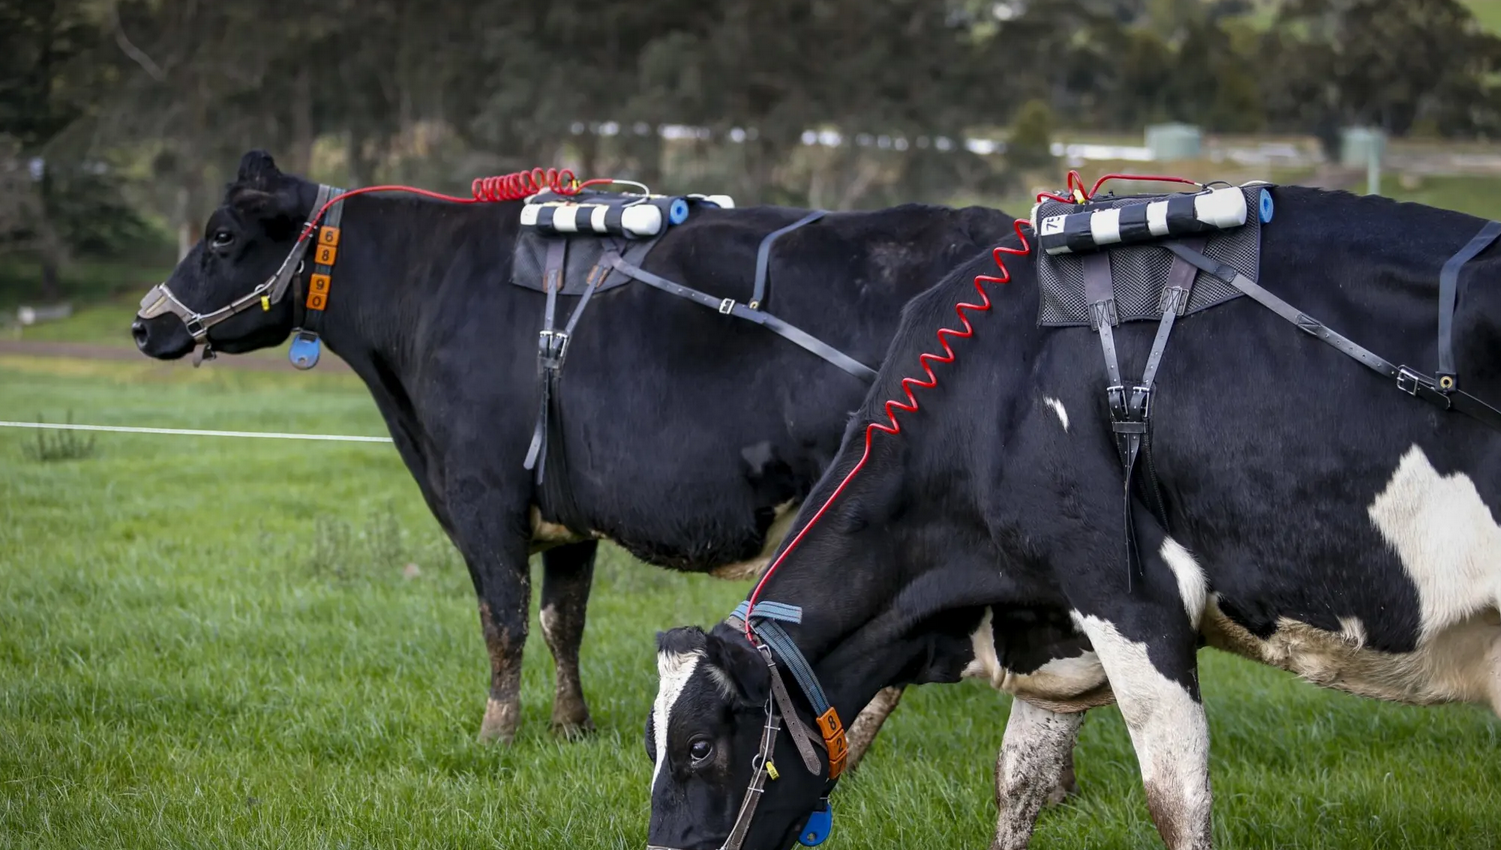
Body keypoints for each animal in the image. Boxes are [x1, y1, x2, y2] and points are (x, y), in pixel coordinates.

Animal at [130, 150, 1021, 758]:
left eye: (221, 235)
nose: (144, 325)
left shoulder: (481, 493)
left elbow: (502, 618)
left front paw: (495, 733)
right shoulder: (567, 509)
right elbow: (563, 621)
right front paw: (570, 726)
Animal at [643, 185, 1501, 850]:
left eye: (696, 746)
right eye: (651, 742)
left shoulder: (1129, 600)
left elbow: (1175, 803)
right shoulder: (1052, 615)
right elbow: (1017, 780)